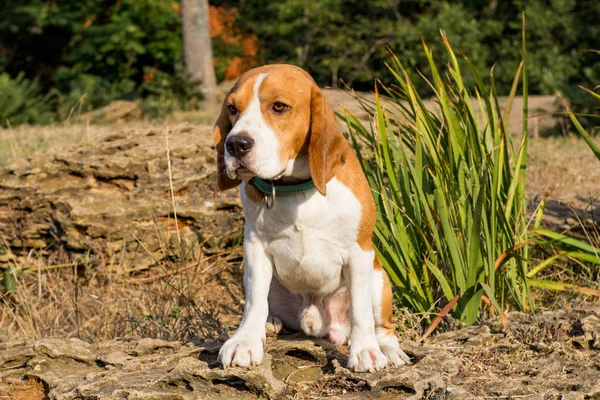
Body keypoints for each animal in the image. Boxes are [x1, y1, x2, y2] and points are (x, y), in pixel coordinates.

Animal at [213, 64, 410, 374]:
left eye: (279, 106)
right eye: (232, 109)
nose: (235, 144)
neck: (295, 189)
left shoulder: (359, 254)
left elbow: (361, 310)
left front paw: (365, 350)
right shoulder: (255, 248)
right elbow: (254, 300)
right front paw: (244, 342)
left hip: (379, 279)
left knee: (384, 327)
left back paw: (388, 350)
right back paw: (268, 323)